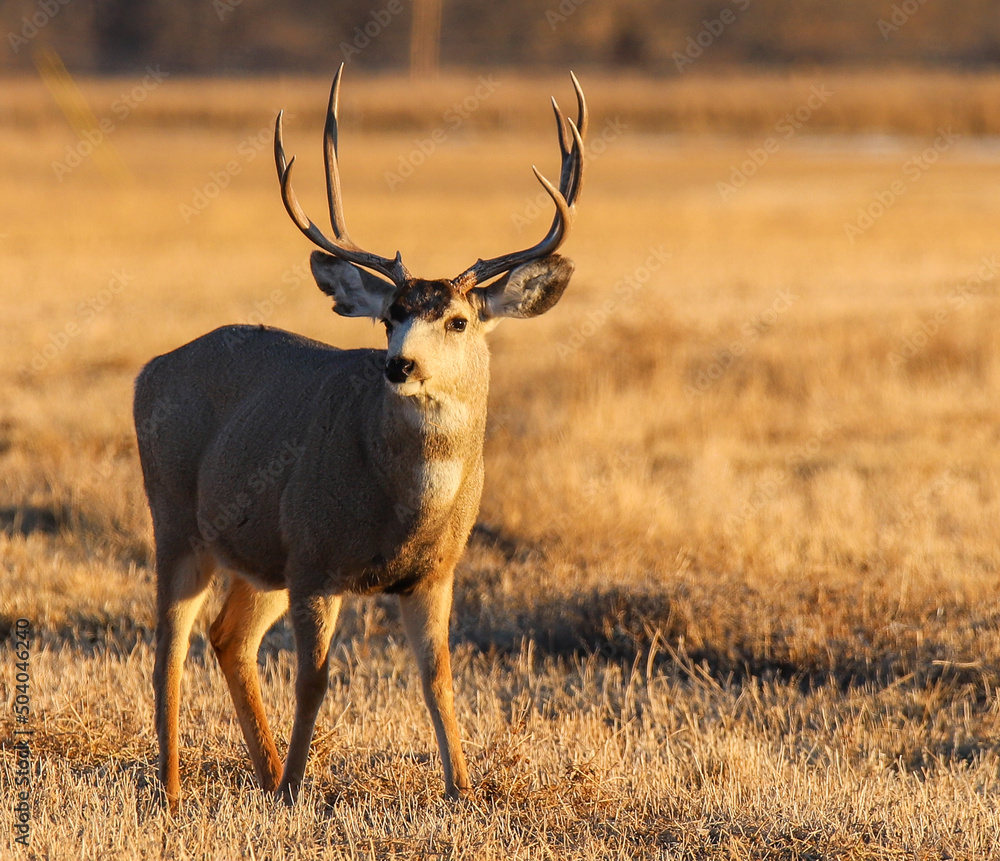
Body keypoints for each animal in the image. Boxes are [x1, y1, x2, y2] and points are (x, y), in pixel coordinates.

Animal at [133, 65, 586, 812]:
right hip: (176, 518)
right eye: (390, 315)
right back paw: (175, 793)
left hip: (263, 552)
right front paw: (296, 791)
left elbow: (439, 678)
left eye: (459, 319)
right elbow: (314, 680)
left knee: (228, 636)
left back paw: (261, 776)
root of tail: (151, 367)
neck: (399, 506)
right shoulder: (317, 559)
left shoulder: (431, 572)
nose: (398, 365)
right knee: (169, 642)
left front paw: (463, 791)